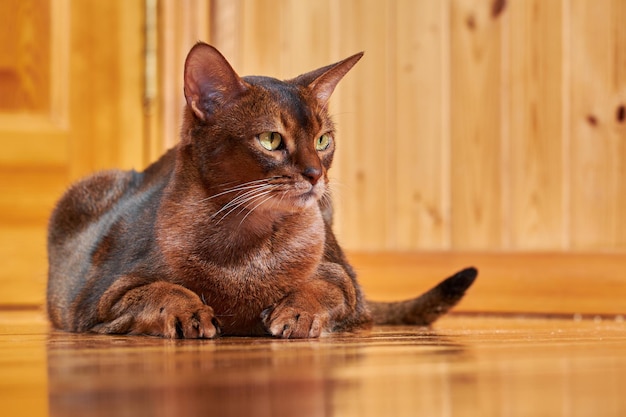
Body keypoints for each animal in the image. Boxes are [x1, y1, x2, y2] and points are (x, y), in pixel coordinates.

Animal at [46, 42, 476, 338]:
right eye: (270, 140)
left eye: (323, 140)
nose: (315, 174)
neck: (251, 250)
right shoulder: (101, 301)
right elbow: (160, 291)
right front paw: (189, 312)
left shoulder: (348, 288)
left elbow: (322, 288)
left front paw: (297, 313)